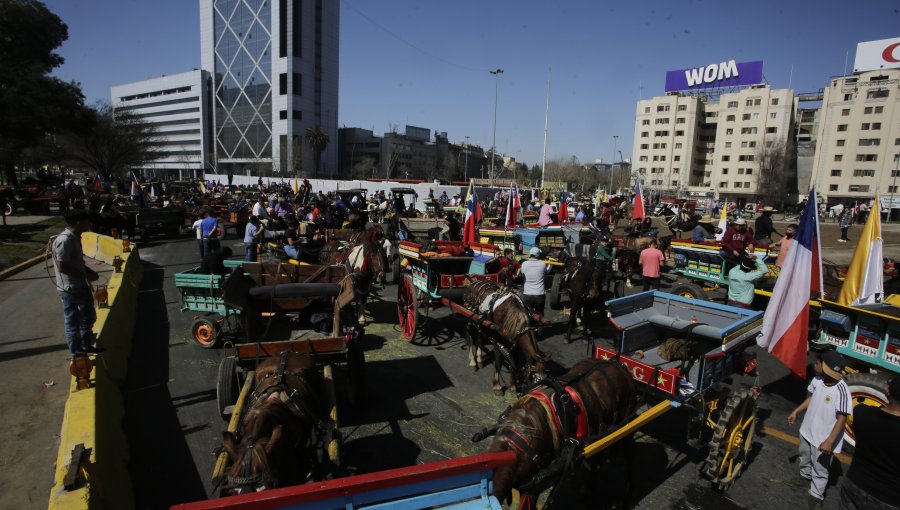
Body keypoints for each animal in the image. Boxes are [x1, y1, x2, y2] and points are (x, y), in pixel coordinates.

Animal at [482, 358, 636, 510]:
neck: (518, 444)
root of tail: (619, 364)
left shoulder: (533, 488)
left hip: (626, 424)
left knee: (629, 454)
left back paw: (626, 495)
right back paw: (588, 490)